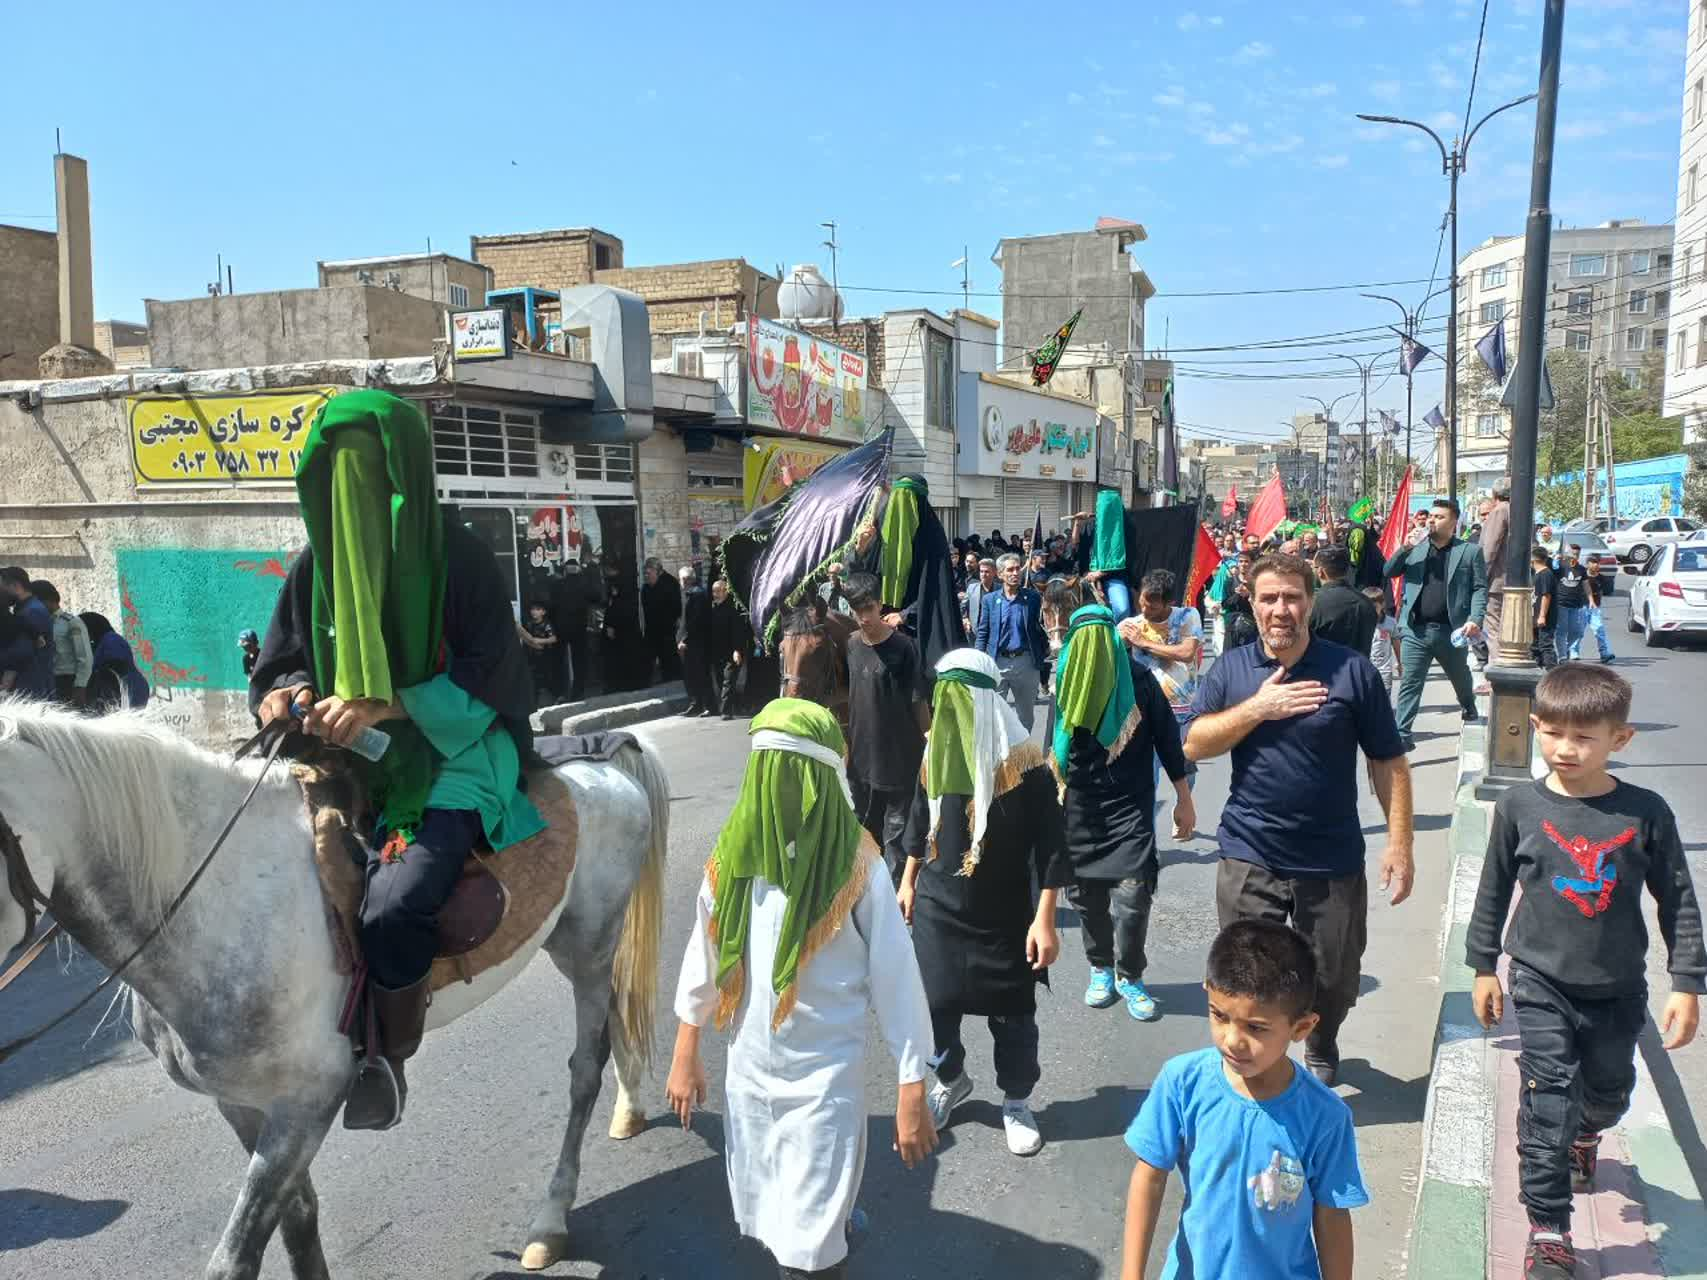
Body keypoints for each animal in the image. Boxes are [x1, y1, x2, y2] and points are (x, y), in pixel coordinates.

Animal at [0, 703, 669, 1280]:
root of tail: (606, 763)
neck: (216, 899)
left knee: (584, 1068)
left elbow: (236, 1257)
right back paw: (629, 1109)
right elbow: (298, 1223)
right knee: (616, 1016)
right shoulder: (241, 1104)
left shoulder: (307, 1103)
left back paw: (551, 1220)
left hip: (587, 946)